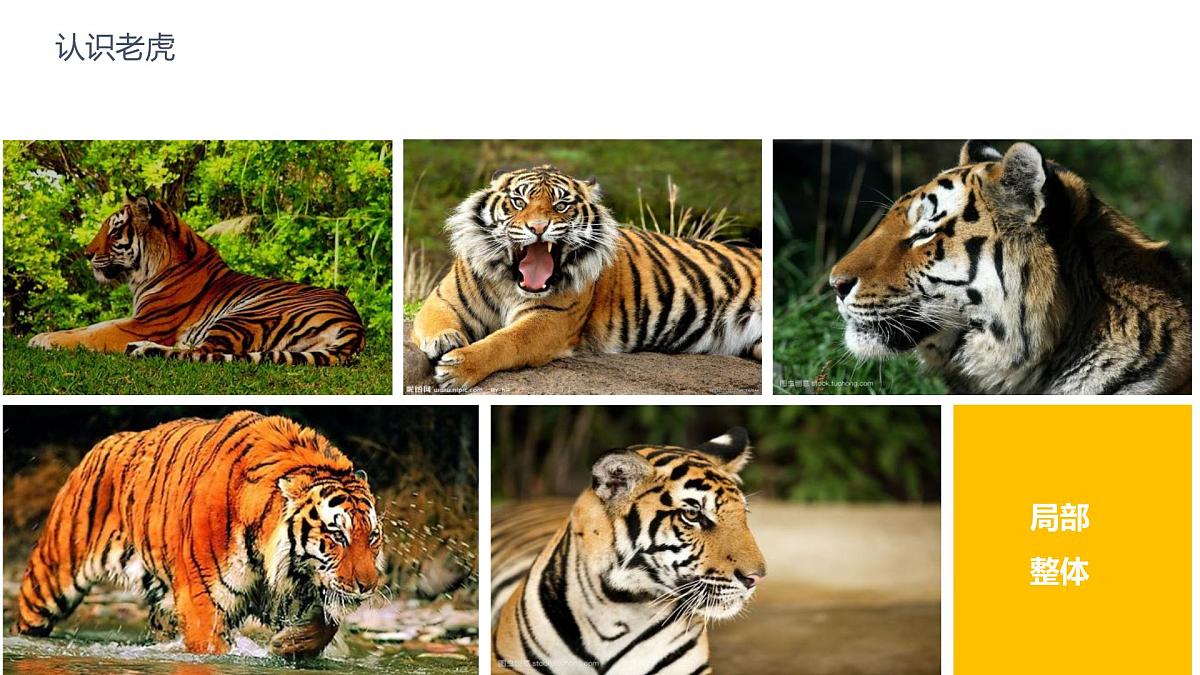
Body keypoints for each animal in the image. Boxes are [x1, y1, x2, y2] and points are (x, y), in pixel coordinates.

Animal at [12, 411, 384, 659]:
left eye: (372, 538)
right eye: (337, 536)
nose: (368, 586)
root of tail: (105, 442)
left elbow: (326, 623)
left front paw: (288, 645)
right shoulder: (204, 603)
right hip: (50, 578)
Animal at [27, 195, 365, 366]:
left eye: (114, 230)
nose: (86, 253)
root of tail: (354, 326)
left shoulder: (144, 324)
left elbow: (93, 334)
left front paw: (43, 340)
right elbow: (88, 327)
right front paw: (43, 335)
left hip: (245, 314)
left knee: (201, 353)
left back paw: (142, 349)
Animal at [411, 165, 762, 390]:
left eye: (561, 205)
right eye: (519, 202)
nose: (538, 227)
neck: (510, 282)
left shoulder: (551, 319)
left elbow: (505, 341)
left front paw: (458, 368)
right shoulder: (443, 297)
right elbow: (433, 320)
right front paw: (444, 340)